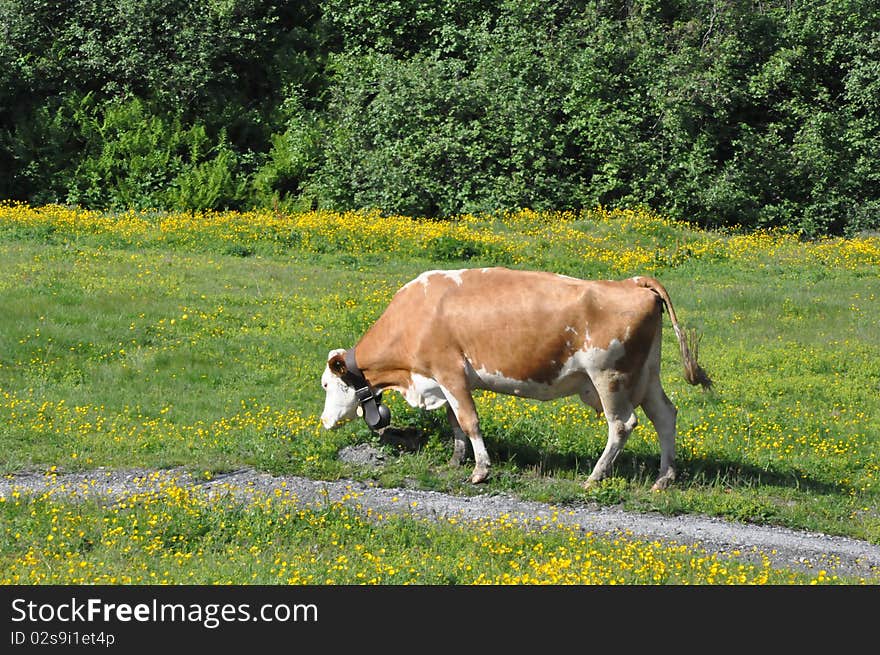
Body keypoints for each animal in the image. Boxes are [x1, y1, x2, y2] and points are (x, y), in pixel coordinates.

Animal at [320, 268, 712, 492]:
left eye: (326, 385)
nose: (323, 422)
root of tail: (633, 282)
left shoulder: (450, 371)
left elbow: (469, 421)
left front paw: (480, 471)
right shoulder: (442, 380)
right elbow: (454, 421)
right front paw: (456, 459)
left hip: (609, 377)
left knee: (622, 425)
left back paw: (595, 477)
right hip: (646, 375)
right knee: (665, 416)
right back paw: (664, 478)